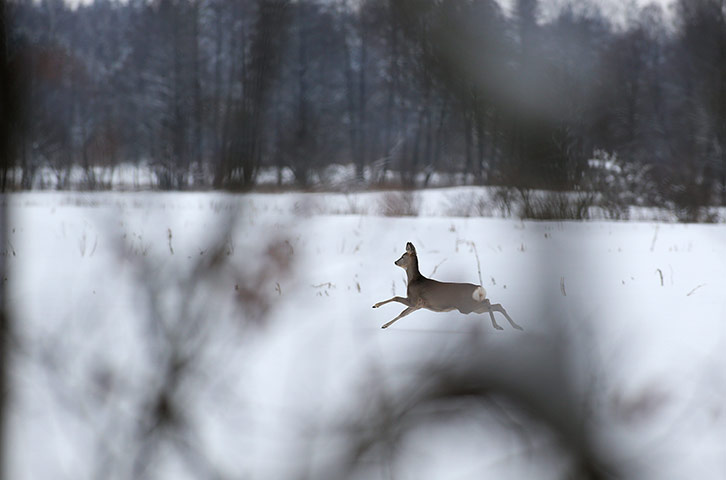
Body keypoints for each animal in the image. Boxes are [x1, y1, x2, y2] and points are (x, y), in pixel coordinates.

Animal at [376, 244, 524, 330]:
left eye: (403, 256)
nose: (395, 262)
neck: (414, 281)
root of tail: (478, 287)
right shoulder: (418, 304)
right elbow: (401, 308)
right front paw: (382, 320)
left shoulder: (416, 300)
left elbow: (398, 304)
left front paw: (380, 315)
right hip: (472, 308)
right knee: (497, 305)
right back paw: (516, 326)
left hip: (466, 307)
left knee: (489, 303)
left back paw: (498, 326)